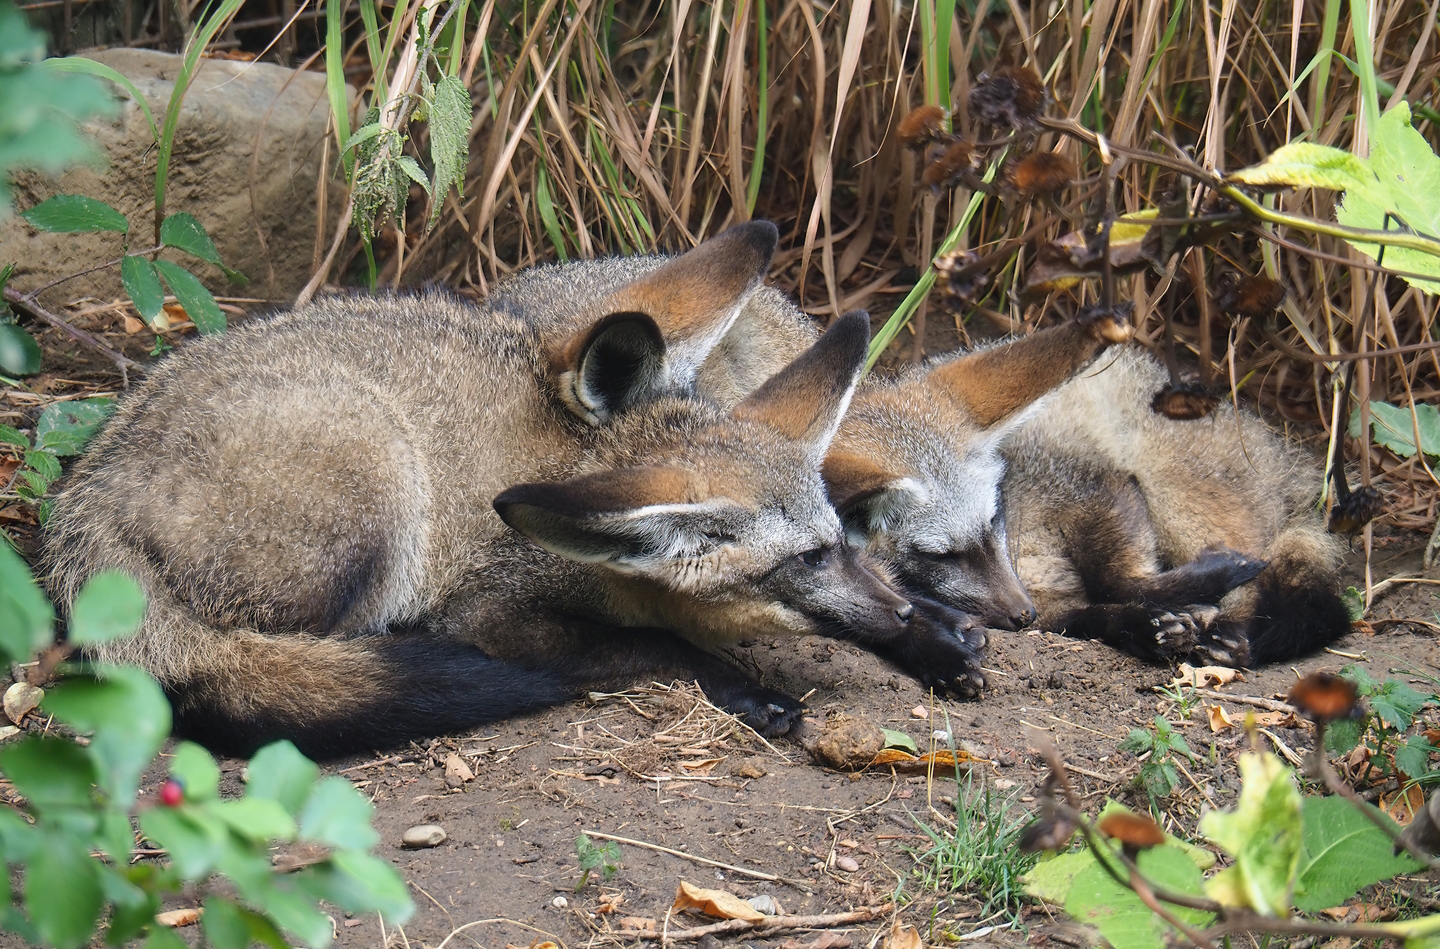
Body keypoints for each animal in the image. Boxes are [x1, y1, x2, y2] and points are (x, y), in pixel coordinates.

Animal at [40, 223, 997, 760]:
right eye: (801, 559)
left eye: (839, 538)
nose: (900, 616)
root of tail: (79, 504)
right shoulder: (493, 613)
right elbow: (656, 646)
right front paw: (750, 687)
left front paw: (932, 633)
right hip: (378, 478)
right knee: (283, 664)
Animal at [697, 306, 1350, 671]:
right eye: (942, 556)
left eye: (995, 523)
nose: (1019, 614)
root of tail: (1286, 456)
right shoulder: (1055, 596)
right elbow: (1100, 609)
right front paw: (1146, 627)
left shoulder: (1095, 487)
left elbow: (1121, 579)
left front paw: (1184, 602)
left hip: (1179, 501)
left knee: (1320, 602)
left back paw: (1243, 634)